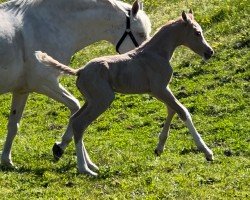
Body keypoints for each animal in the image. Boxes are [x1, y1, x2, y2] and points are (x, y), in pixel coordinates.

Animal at [0, 0, 150, 168]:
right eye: (141, 33)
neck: (47, 24)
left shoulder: (22, 90)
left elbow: (13, 124)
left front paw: (6, 160)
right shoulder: (44, 83)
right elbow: (75, 106)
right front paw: (60, 147)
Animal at [36, 10, 214, 176]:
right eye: (197, 33)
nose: (209, 52)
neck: (156, 53)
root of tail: (79, 71)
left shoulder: (162, 90)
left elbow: (172, 110)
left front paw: (159, 147)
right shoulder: (159, 90)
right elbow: (183, 111)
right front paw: (207, 152)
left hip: (91, 101)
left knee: (75, 120)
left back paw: (90, 164)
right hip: (103, 100)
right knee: (80, 124)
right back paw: (84, 169)